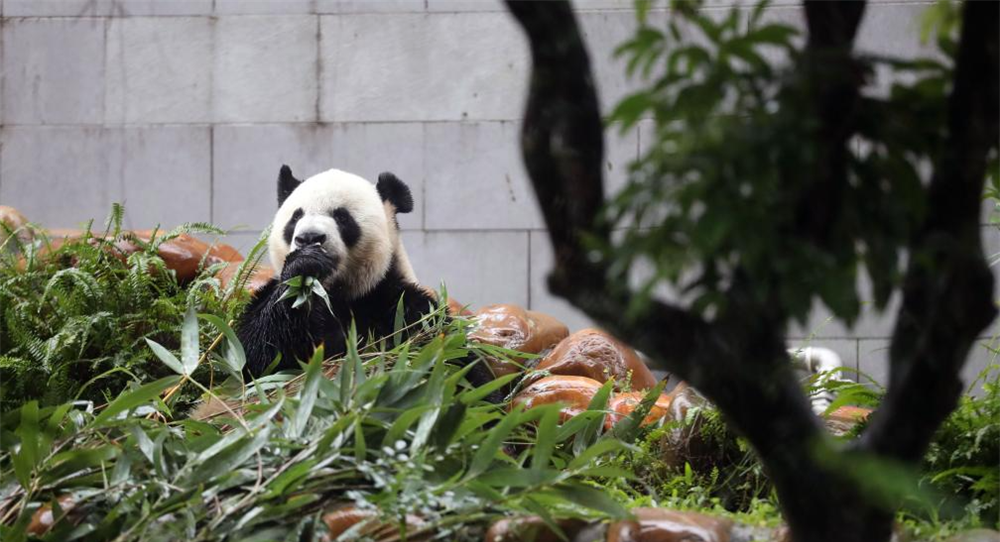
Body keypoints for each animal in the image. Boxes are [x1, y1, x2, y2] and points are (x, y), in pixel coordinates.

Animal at [238, 166, 496, 392]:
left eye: (342, 217)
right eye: (295, 217)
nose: (309, 237)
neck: (337, 293)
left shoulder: (402, 305)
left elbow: (451, 359)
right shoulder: (268, 299)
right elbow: (256, 354)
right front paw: (304, 264)